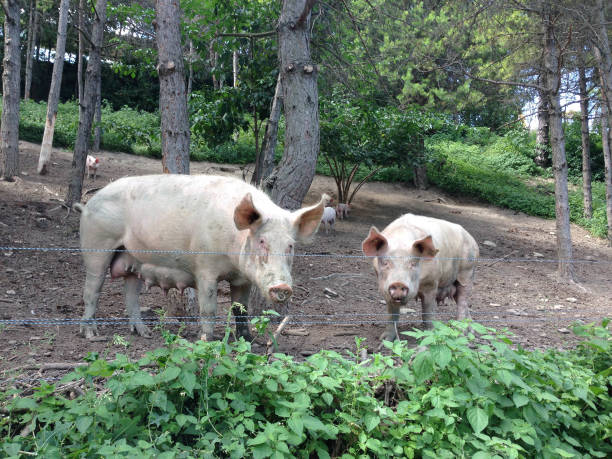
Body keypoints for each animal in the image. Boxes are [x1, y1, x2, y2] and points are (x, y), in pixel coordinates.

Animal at [74, 176, 328, 342]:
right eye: (262, 241)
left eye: (290, 245)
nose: (282, 287)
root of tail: (88, 203)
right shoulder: (205, 269)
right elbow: (209, 308)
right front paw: (205, 341)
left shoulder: (242, 279)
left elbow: (241, 309)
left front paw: (247, 341)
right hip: (97, 246)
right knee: (92, 290)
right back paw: (91, 335)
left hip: (132, 258)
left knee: (131, 295)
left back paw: (144, 333)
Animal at [360, 213, 480, 342]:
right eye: (385, 262)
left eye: (413, 263)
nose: (398, 284)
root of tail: (472, 239)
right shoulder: (385, 289)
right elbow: (392, 315)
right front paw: (385, 340)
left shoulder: (431, 284)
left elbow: (428, 313)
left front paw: (430, 336)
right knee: (462, 302)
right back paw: (471, 332)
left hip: (467, 272)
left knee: (463, 300)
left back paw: (462, 334)